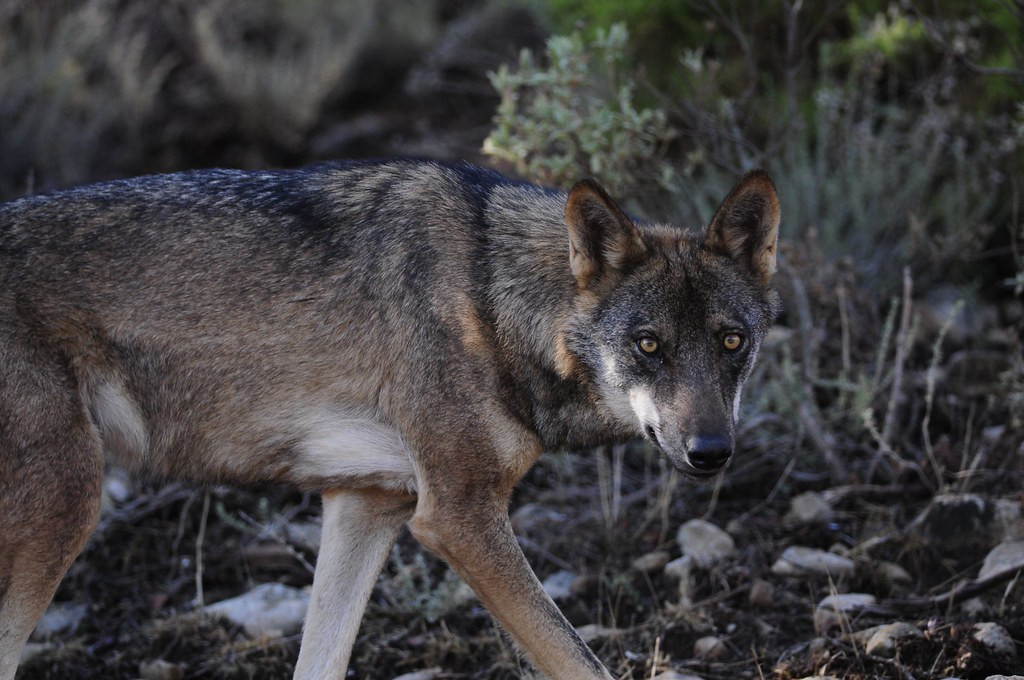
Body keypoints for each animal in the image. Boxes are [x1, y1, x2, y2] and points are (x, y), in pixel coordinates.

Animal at [0, 159, 780, 679]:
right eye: (649, 345)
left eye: (731, 342)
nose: (712, 451)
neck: (492, 299)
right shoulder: (457, 518)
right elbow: (578, 658)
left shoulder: (367, 503)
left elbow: (321, 660)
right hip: (69, 504)